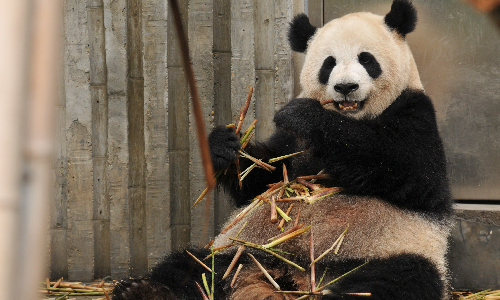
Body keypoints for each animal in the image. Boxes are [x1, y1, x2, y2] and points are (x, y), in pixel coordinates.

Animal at [113, 1, 454, 298]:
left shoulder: (415, 114)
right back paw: (142, 289)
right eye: (329, 64)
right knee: (192, 267)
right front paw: (226, 145)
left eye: (366, 59)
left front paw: (304, 114)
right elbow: (263, 180)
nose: (345, 87)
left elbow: (409, 169)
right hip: (240, 248)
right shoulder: (290, 145)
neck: (352, 117)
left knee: (394, 281)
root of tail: (292, 276)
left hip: (386, 251)